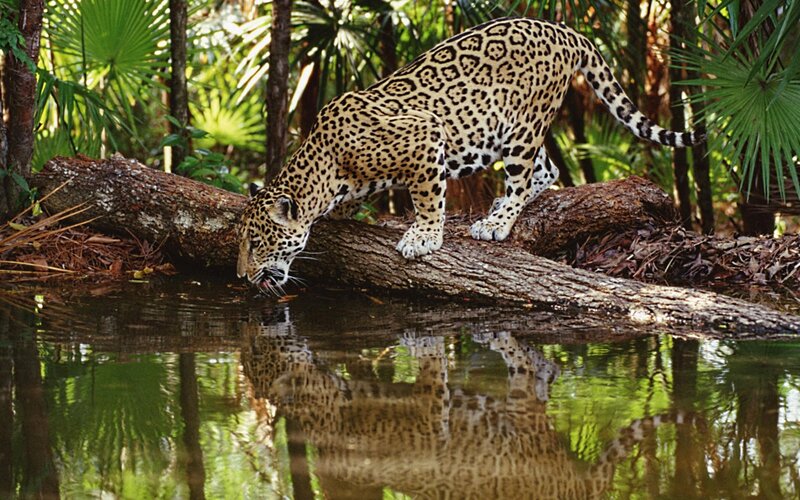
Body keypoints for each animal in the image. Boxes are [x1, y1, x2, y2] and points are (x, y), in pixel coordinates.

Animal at [237, 16, 706, 290]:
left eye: (257, 242)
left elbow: (428, 197)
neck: (326, 165)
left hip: (522, 126)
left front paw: (423, 236)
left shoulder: (426, 134)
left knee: (524, 174)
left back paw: (497, 221)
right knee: (549, 168)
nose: (242, 275)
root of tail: (564, 30)